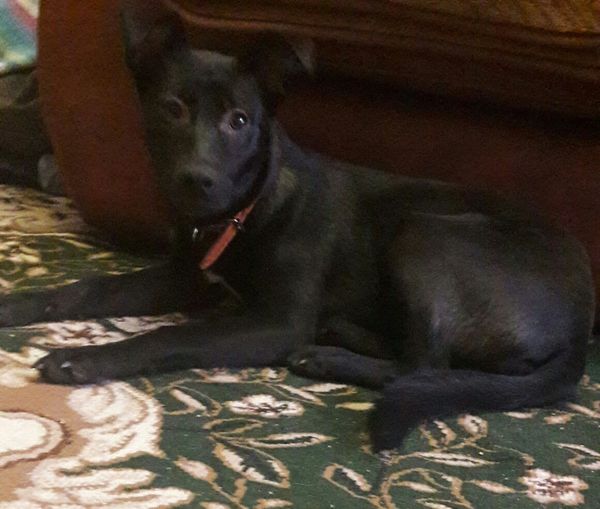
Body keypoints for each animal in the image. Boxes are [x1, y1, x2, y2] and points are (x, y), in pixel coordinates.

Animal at [0, 9, 594, 451]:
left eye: (239, 120)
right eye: (171, 109)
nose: (198, 181)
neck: (246, 211)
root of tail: (581, 321)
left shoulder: (274, 323)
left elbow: (174, 336)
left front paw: (84, 358)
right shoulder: (184, 278)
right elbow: (86, 289)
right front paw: (16, 305)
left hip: (426, 234)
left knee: (423, 366)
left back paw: (328, 354)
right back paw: (336, 334)